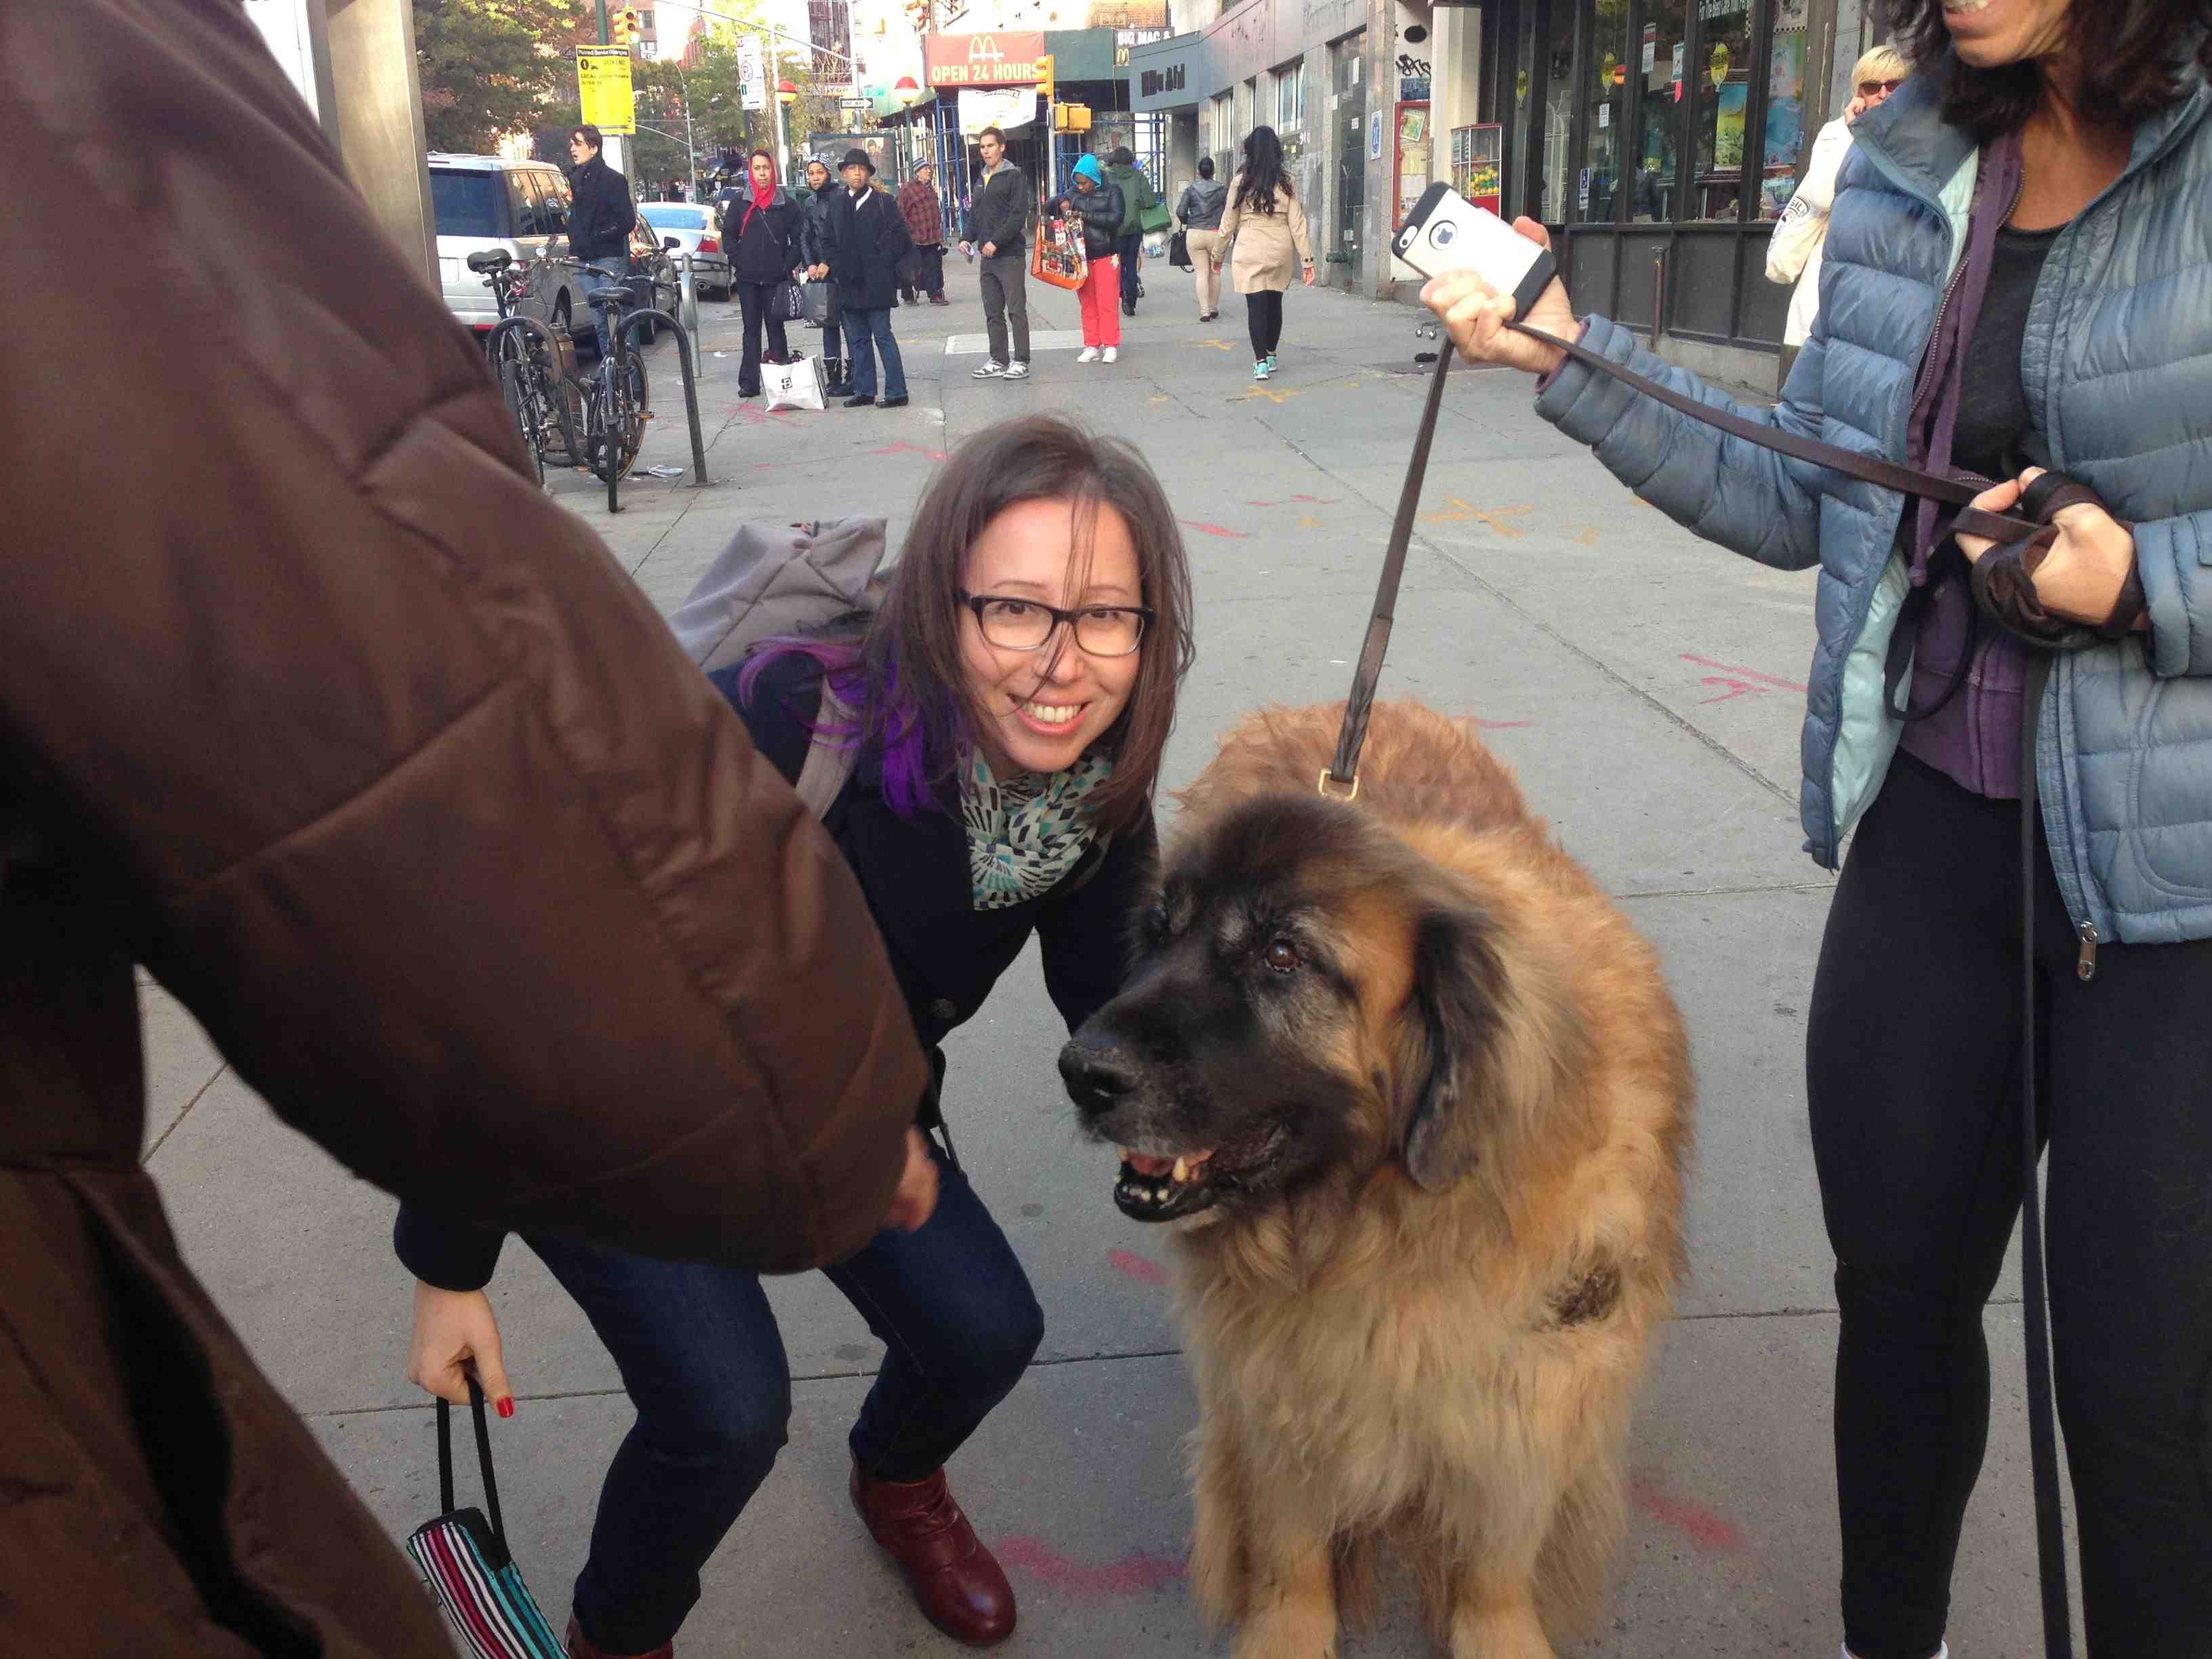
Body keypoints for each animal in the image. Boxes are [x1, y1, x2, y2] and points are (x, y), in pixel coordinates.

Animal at [1059, 701, 1692, 1659]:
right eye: (1162, 932)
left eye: (1283, 955)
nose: (1082, 1072)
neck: (1382, 1233)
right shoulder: (1283, 1390)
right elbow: (1290, 1549)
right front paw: (1286, 1630)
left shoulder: (1524, 1408)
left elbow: (1495, 1564)